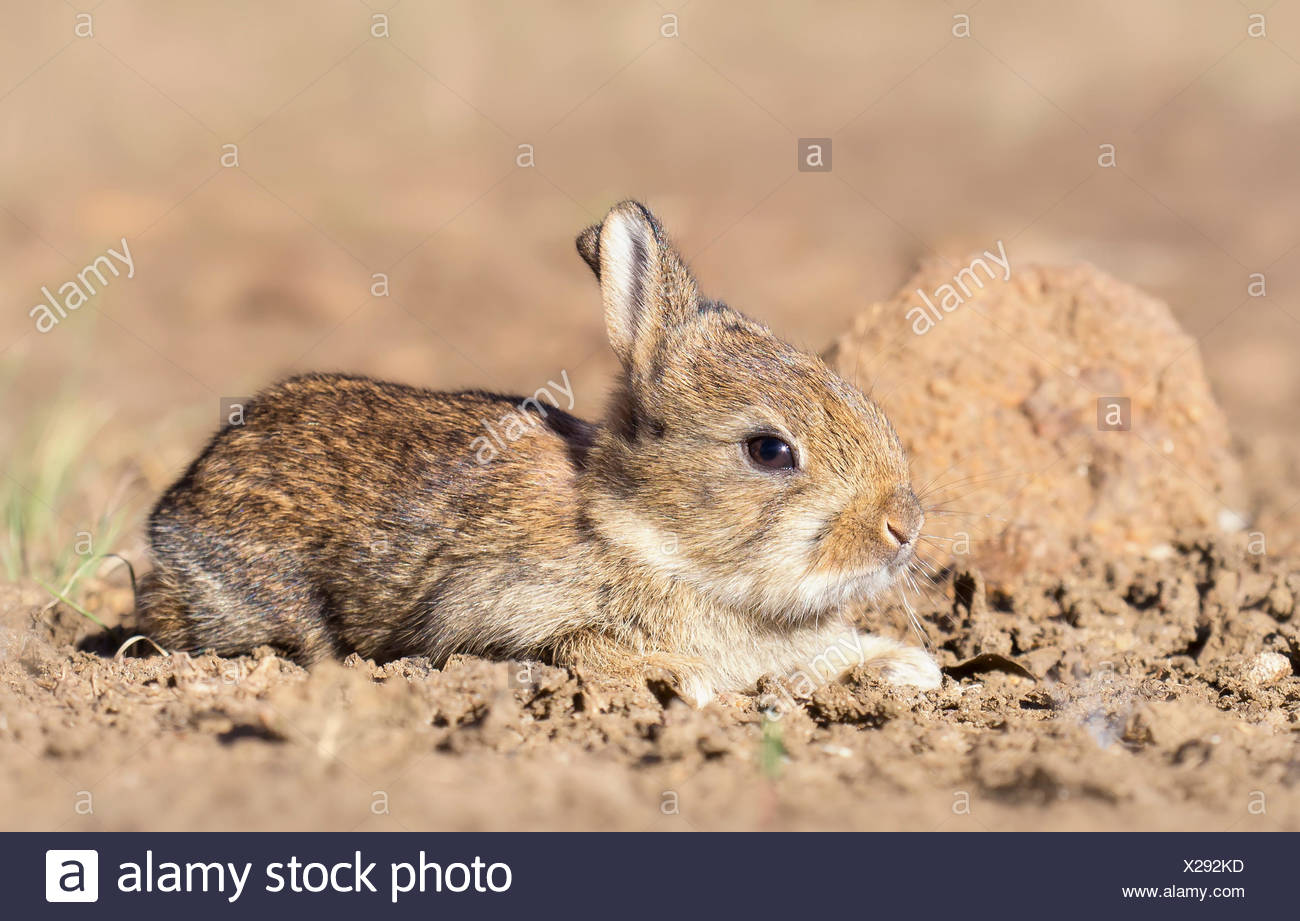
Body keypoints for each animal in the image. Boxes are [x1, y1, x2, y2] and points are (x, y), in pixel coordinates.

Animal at [138, 200, 941, 706]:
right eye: (769, 449)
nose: (904, 526)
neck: (642, 533)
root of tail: (172, 512)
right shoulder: (493, 612)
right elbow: (579, 645)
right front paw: (682, 679)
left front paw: (910, 668)